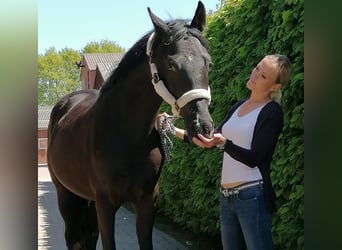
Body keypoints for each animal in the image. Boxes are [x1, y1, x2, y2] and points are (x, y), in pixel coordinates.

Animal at [46, 1, 212, 248]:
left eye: (208, 63)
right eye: (171, 64)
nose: (202, 127)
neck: (127, 135)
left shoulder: (147, 203)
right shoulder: (105, 205)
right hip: (66, 195)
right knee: (73, 237)